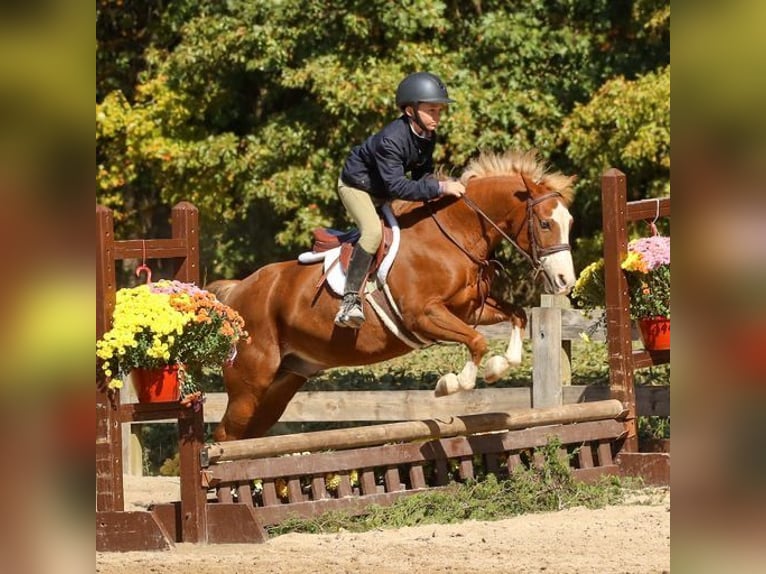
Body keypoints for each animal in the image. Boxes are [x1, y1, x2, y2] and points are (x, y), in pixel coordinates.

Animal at [207, 148, 580, 440]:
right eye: (545, 223)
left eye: (570, 222)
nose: (565, 281)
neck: (453, 235)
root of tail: (237, 292)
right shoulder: (424, 315)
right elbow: (476, 341)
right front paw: (452, 383)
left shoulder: (469, 310)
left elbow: (516, 316)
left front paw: (498, 367)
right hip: (250, 381)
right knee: (226, 436)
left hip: (283, 382)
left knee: (247, 435)